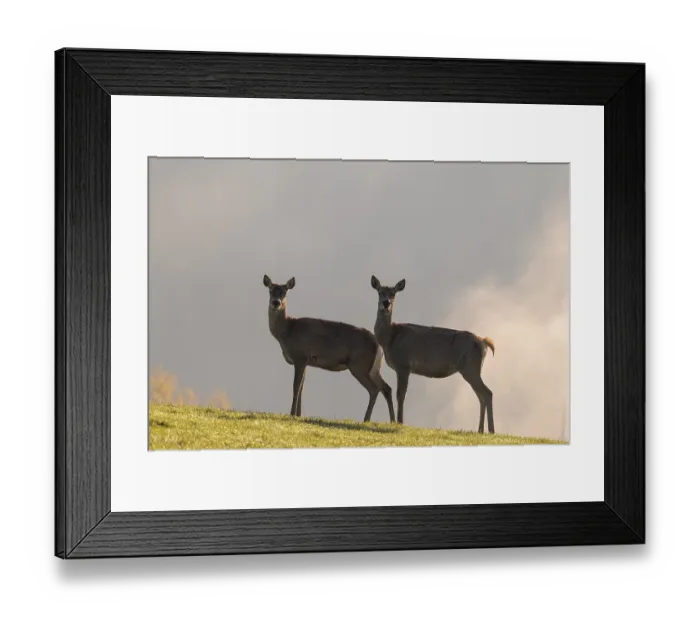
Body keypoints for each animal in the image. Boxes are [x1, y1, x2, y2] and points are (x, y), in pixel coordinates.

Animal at [263, 275, 395, 424]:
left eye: (284, 292)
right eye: (270, 291)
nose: (276, 303)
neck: (287, 331)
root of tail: (377, 344)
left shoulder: (300, 356)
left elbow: (296, 386)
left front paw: (292, 414)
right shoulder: (306, 361)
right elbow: (302, 387)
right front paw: (299, 415)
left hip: (359, 365)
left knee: (374, 389)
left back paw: (366, 419)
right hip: (374, 368)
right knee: (386, 388)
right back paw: (392, 420)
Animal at [370, 276, 496, 433]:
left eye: (393, 293)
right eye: (380, 292)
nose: (386, 303)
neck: (390, 337)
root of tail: (484, 342)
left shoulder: (404, 365)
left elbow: (401, 394)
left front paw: (400, 422)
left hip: (470, 367)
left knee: (488, 393)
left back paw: (491, 430)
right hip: (471, 369)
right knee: (480, 396)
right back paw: (480, 430)